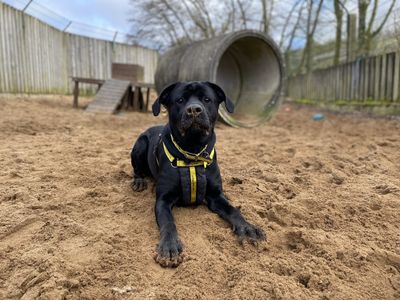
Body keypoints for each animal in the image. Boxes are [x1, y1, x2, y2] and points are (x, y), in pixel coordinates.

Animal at [130, 81, 264, 266]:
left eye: (206, 99)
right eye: (180, 100)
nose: (194, 109)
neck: (193, 151)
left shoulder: (216, 196)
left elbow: (233, 210)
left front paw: (247, 228)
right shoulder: (163, 200)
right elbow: (168, 222)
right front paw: (169, 246)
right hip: (140, 144)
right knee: (136, 169)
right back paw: (139, 181)